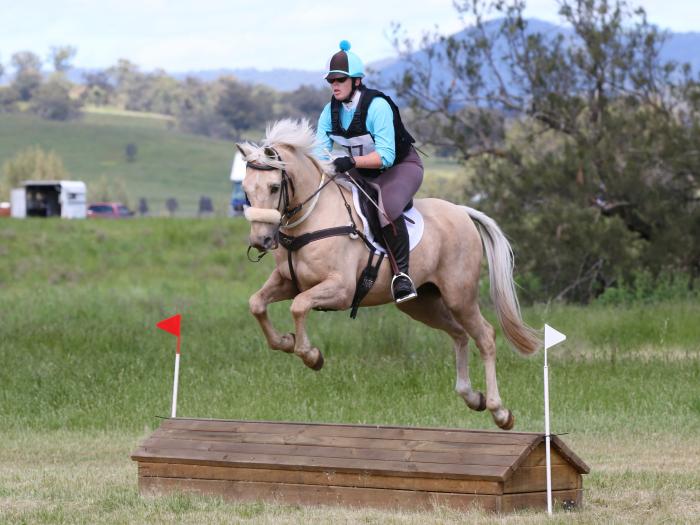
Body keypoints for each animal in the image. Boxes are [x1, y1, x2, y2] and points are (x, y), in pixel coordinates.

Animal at [236, 119, 541, 430]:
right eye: (246, 189)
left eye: (274, 187)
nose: (261, 240)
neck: (312, 217)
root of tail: (461, 212)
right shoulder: (288, 282)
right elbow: (257, 303)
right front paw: (285, 342)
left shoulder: (340, 290)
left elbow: (298, 307)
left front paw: (311, 355)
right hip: (422, 302)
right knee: (458, 333)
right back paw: (471, 396)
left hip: (459, 296)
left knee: (485, 336)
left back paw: (499, 410)